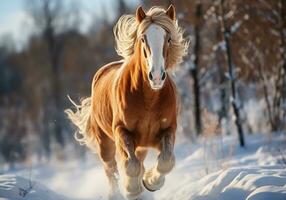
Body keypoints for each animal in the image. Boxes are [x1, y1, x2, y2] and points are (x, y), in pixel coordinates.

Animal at [66, 5, 189, 200]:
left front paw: (150, 183)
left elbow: (166, 161)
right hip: (105, 143)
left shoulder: (168, 129)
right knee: (110, 169)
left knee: (138, 162)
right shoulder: (121, 131)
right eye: (143, 38)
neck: (149, 100)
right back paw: (115, 193)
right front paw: (132, 189)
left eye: (169, 38)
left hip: (141, 146)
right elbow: (130, 166)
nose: (156, 77)